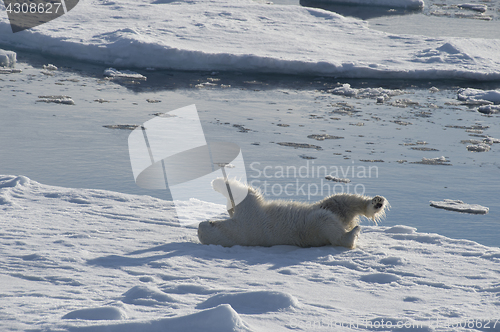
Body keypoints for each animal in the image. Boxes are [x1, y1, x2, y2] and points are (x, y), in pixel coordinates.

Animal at [197, 179, 388, 249]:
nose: (199, 224)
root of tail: (346, 222)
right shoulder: (247, 221)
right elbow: (245, 196)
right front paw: (218, 182)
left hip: (327, 207)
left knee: (341, 200)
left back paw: (377, 202)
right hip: (313, 227)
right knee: (330, 222)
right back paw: (353, 233)